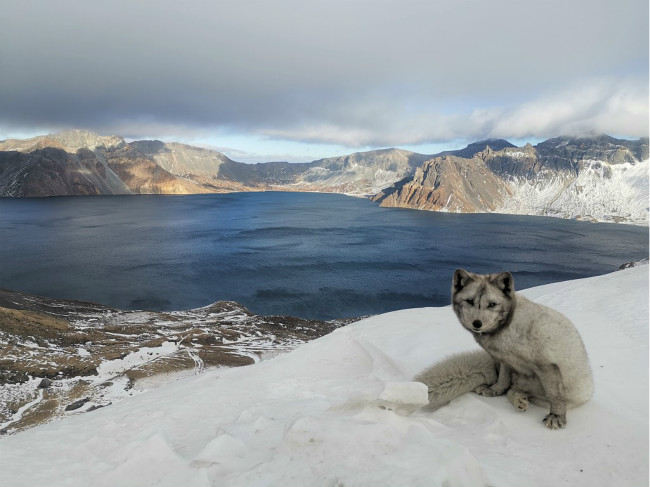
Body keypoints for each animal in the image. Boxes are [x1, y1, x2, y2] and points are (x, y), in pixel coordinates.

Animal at [416, 270, 592, 430]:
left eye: (492, 304)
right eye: (470, 301)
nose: (477, 323)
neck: (505, 329)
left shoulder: (546, 364)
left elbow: (554, 394)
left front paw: (556, 416)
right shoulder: (504, 359)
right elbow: (502, 380)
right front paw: (494, 390)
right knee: (511, 389)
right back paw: (517, 400)